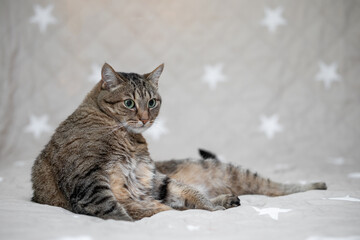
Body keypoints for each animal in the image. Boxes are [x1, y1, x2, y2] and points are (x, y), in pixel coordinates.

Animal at [32, 63, 328, 221]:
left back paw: (316, 185)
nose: (144, 118)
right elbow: (122, 211)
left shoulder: (152, 180)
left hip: (232, 171)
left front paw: (210, 206)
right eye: (129, 103)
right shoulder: (89, 183)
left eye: (152, 102)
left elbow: (187, 196)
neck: (127, 136)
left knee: (279, 188)